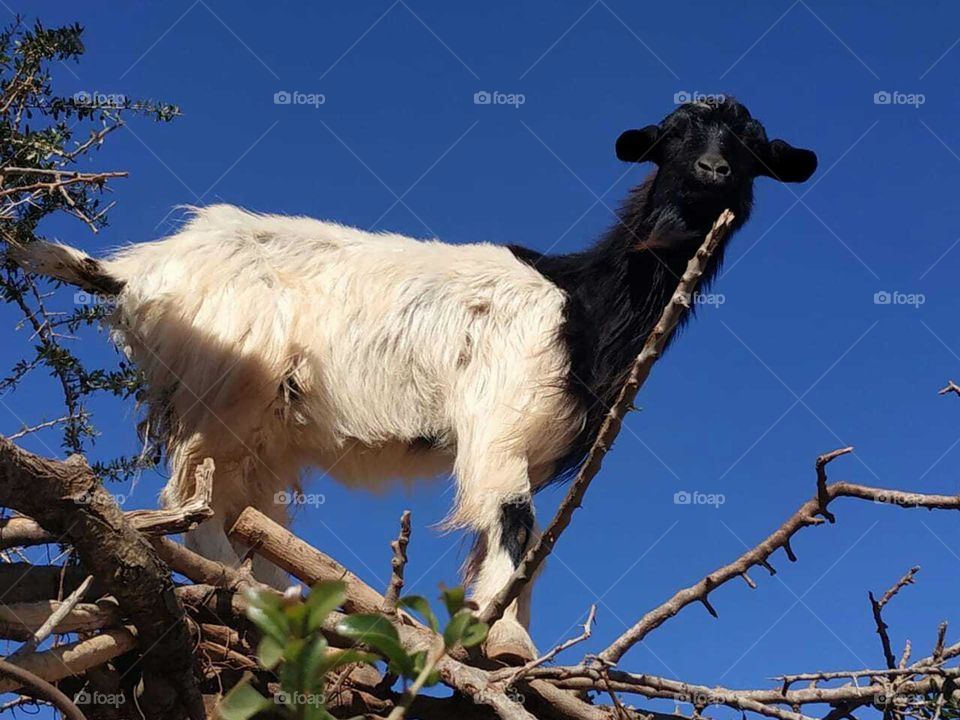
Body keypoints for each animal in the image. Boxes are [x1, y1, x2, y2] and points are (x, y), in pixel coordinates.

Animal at [14, 98, 816, 662]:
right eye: (673, 135)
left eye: (749, 145)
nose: (713, 174)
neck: (580, 302)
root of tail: (141, 269)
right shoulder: (499, 423)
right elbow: (513, 528)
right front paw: (508, 646)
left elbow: (519, 550)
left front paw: (498, 639)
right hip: (219, 391)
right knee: (193, 498)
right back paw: (238, 586)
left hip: (261, 429)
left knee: (246, 508)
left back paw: (279, 596)